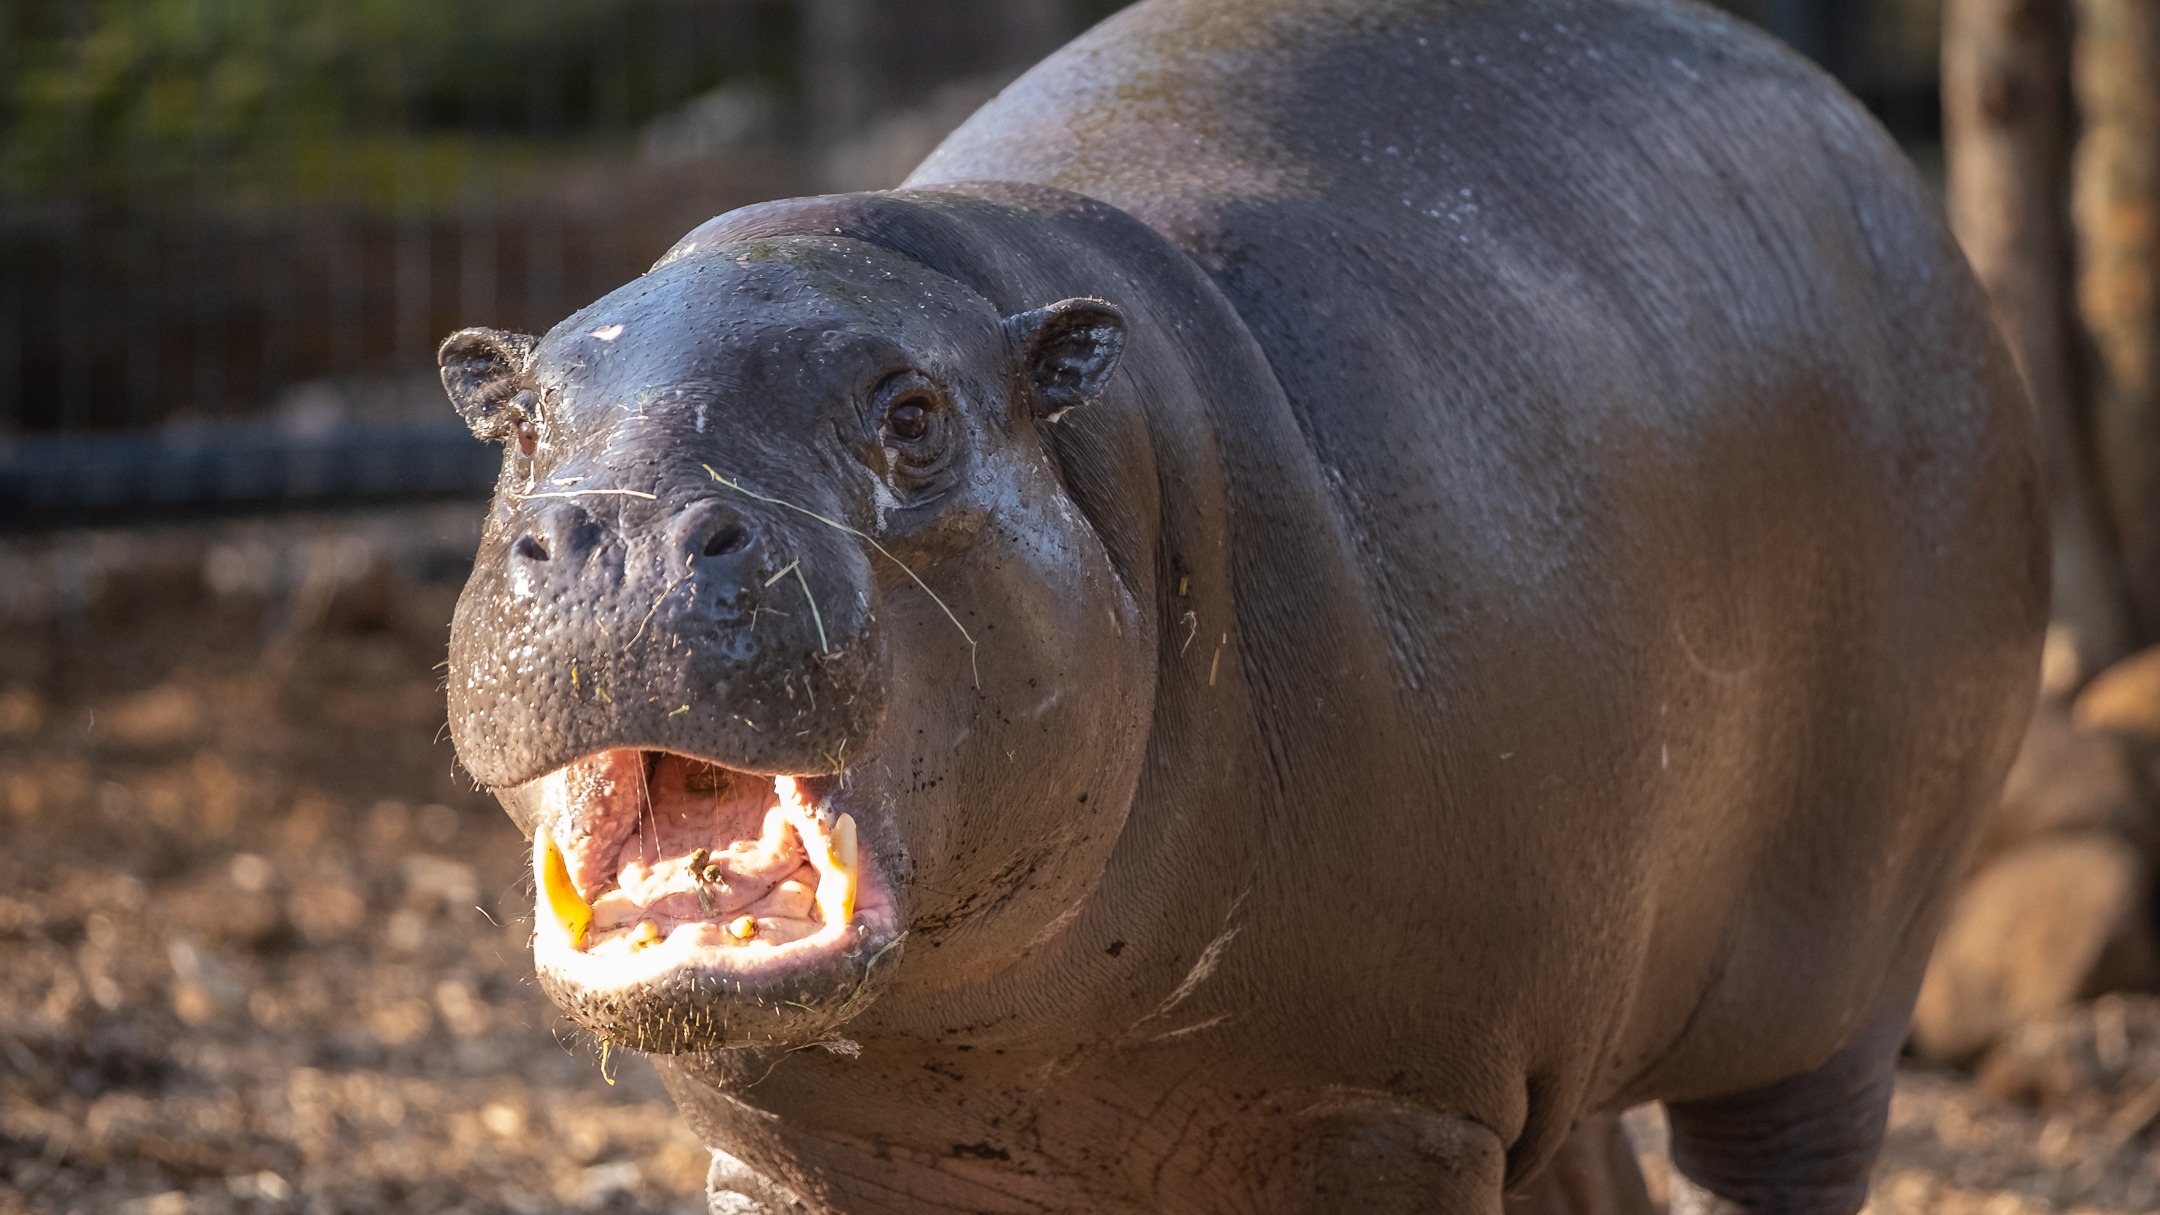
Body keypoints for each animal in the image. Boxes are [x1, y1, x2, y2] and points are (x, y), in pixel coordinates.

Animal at [434, 2, 2039, 1210]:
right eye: (515, 419)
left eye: (913, 413)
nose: (625, 533)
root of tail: (1871, 146)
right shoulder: (805, 1150)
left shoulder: (1376, 1113)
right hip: (1564, 1011)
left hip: (1827, 1001)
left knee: (1778, 1149)